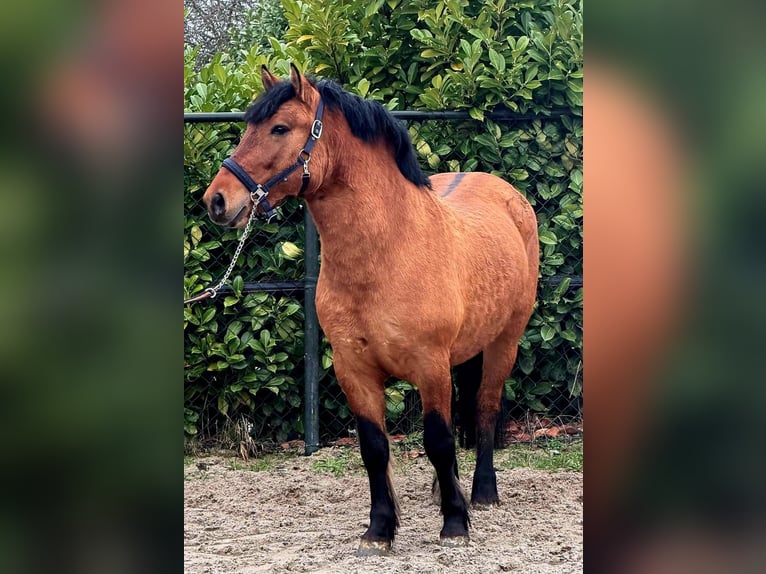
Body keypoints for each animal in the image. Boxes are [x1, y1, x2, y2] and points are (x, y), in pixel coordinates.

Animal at [202, 64, 539, 555]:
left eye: (280, 128)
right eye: (248, 126)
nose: (217, 200)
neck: (388, 253)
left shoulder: (430, 365)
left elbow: (438, 440)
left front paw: (455, 523)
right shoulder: (354, 370)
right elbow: (374, 450)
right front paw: (379, 531)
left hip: (504, 342)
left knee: (485, 408)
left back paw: (482, 493)